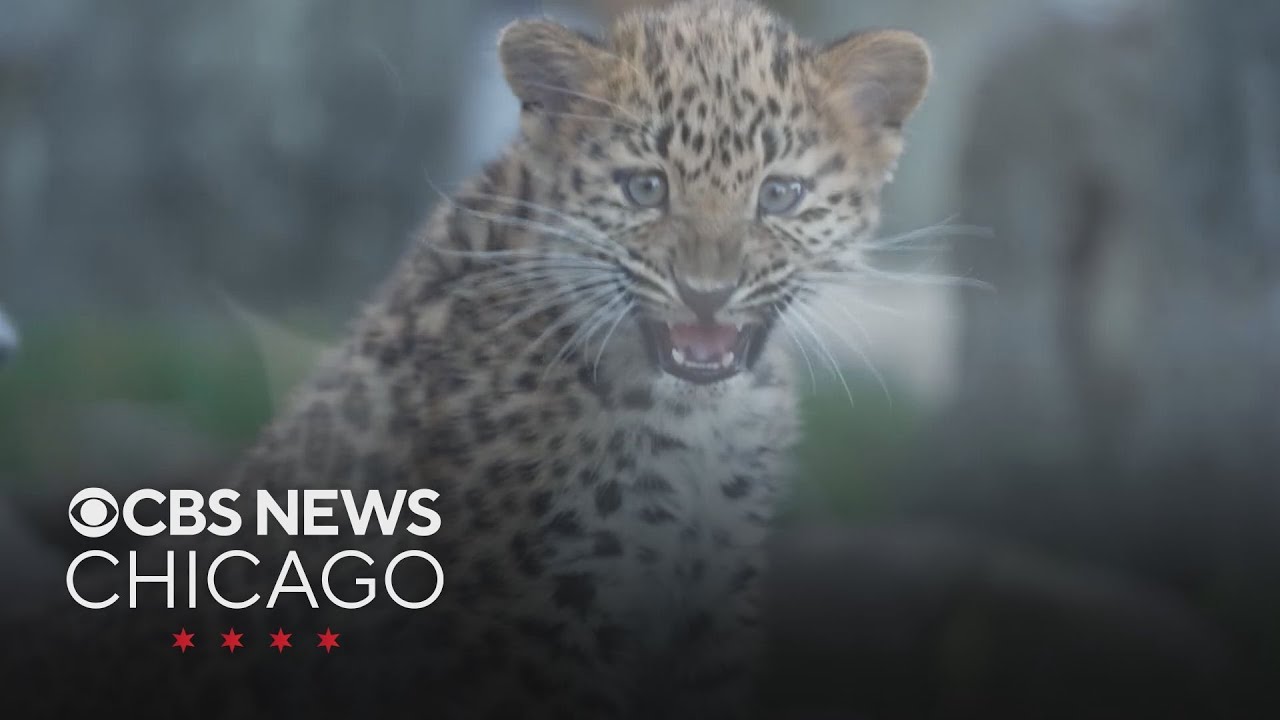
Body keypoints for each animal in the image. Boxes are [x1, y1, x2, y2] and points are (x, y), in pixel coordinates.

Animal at [3, 1, 931, 717]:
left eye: (780, 195)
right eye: (645, 188)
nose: (706, 294)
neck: (694, 419)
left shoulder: (711, 605)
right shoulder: (536, 620)